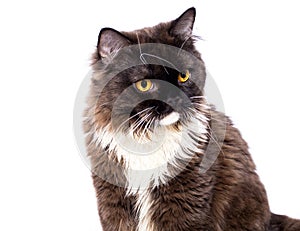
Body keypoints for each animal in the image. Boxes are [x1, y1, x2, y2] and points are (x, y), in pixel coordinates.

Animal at [83, 6, 300, 230]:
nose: (174, 97)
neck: (148, 138)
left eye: (183, 76)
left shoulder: (187, 203)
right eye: (144, 84)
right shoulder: (113, 203)